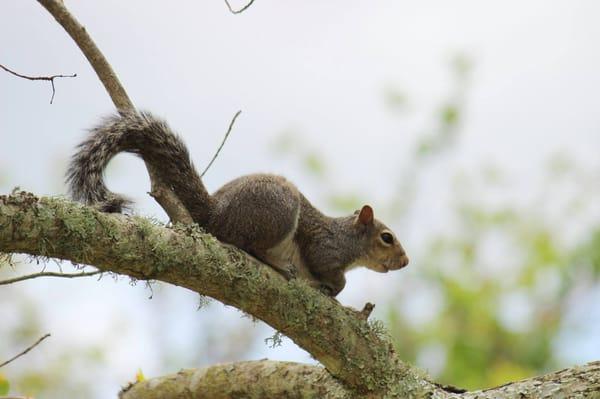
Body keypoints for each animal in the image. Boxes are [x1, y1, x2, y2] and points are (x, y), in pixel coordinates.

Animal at [68, 111, 410, 296]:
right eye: (387, 237)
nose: (405, 262)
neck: (348, 239)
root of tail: (216, 215)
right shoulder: (324, 249)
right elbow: (331, 273)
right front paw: (336, 287)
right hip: (279, 213)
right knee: (250, 246)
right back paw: (279, 265)